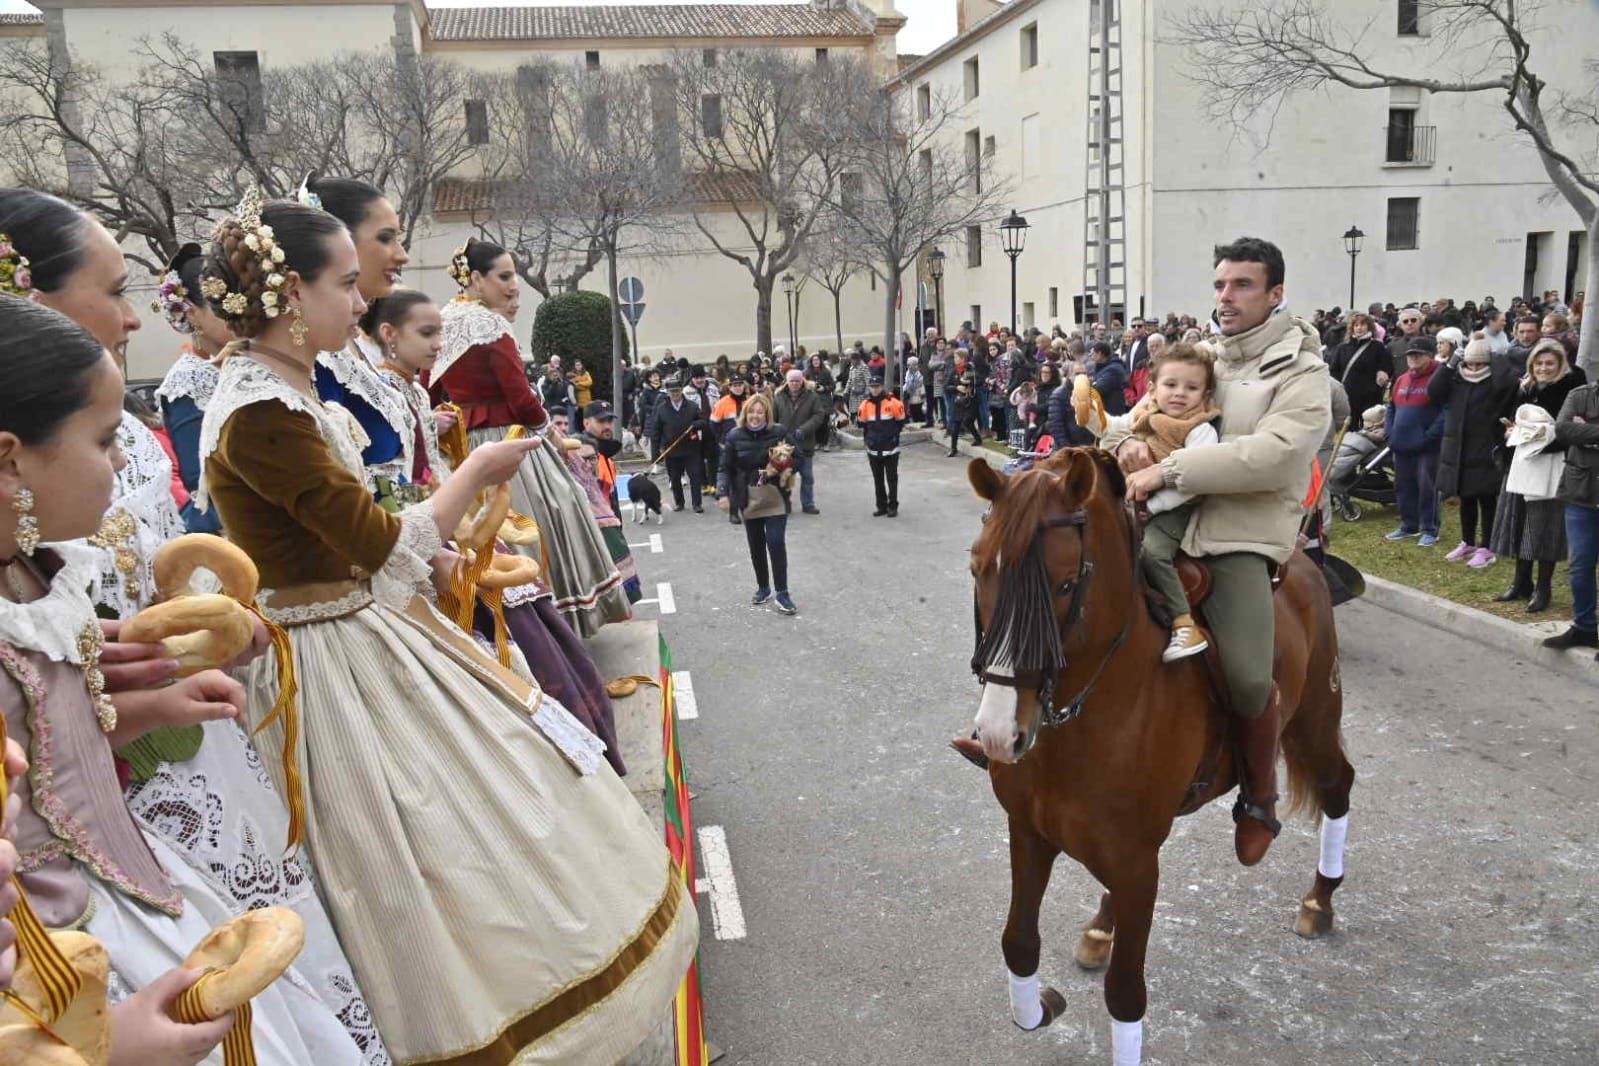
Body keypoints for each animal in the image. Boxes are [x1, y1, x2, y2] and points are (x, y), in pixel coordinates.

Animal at [959, 453, 1349, 1066]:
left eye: (1065, 584)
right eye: (979, 572)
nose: (1000, 734)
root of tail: (1306, 562)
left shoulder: (1137, 862)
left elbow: (1125, 996)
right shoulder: (1029, 832)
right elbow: (1018, 944)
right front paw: (1040, 1004)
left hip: (1313, 724)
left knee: (1338, 788)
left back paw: (1319, 898)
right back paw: (1103, 928)